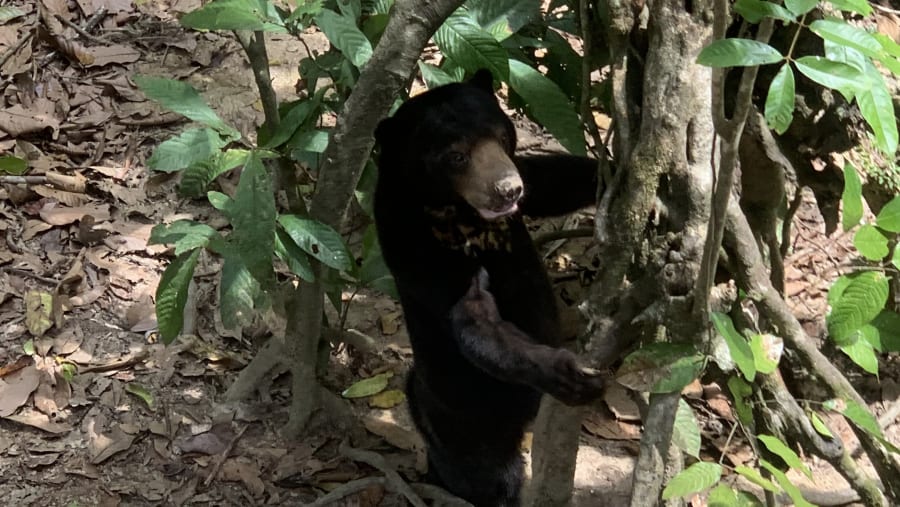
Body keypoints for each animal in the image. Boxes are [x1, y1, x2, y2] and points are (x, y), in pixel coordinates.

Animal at [373, 69, 604, 507]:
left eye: (501, 136)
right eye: (456, 156)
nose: (507, 189)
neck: (461, 213)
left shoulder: (524, 190)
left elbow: (550, 181)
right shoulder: (414, 242)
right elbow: (474, 314)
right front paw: (569, 373)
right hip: (464, 415)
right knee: (488, 476)